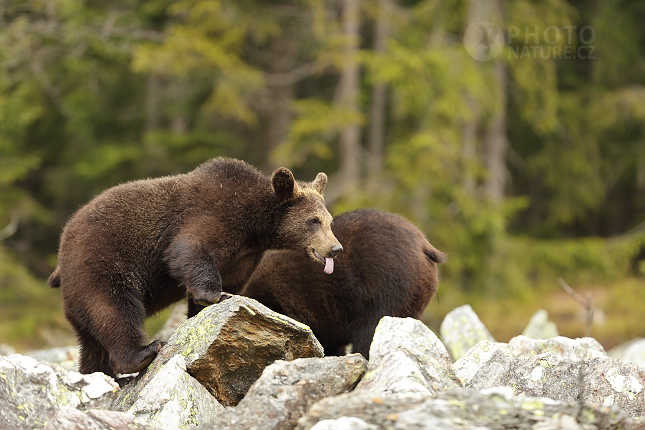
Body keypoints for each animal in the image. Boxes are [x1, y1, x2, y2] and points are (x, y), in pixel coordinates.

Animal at [47, 157, 342, 376]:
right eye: (313, 221)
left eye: (330, 221)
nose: (336, 249)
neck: (255, 227)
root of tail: (61, 251)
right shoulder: (211, 214)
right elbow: (188, 250)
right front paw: (215, 295)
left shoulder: (244, 256)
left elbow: (229, 281)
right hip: (102, 264)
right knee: (114, 310)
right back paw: (143, 353)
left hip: (78, 298)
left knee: (91, 340)